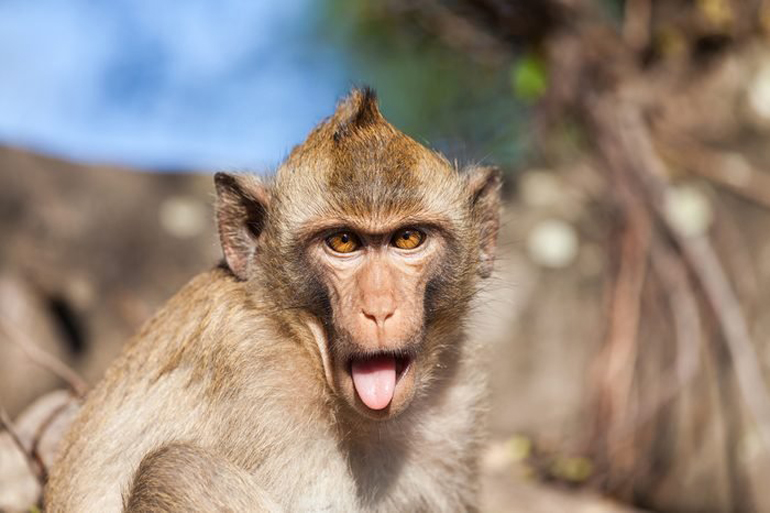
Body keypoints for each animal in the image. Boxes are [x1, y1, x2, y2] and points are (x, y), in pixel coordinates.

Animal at [45, 87, 502, 512]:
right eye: (343, 241)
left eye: (408, 238)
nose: (379, 308)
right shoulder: (260, 380)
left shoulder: (452, 408)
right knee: (177, 469)